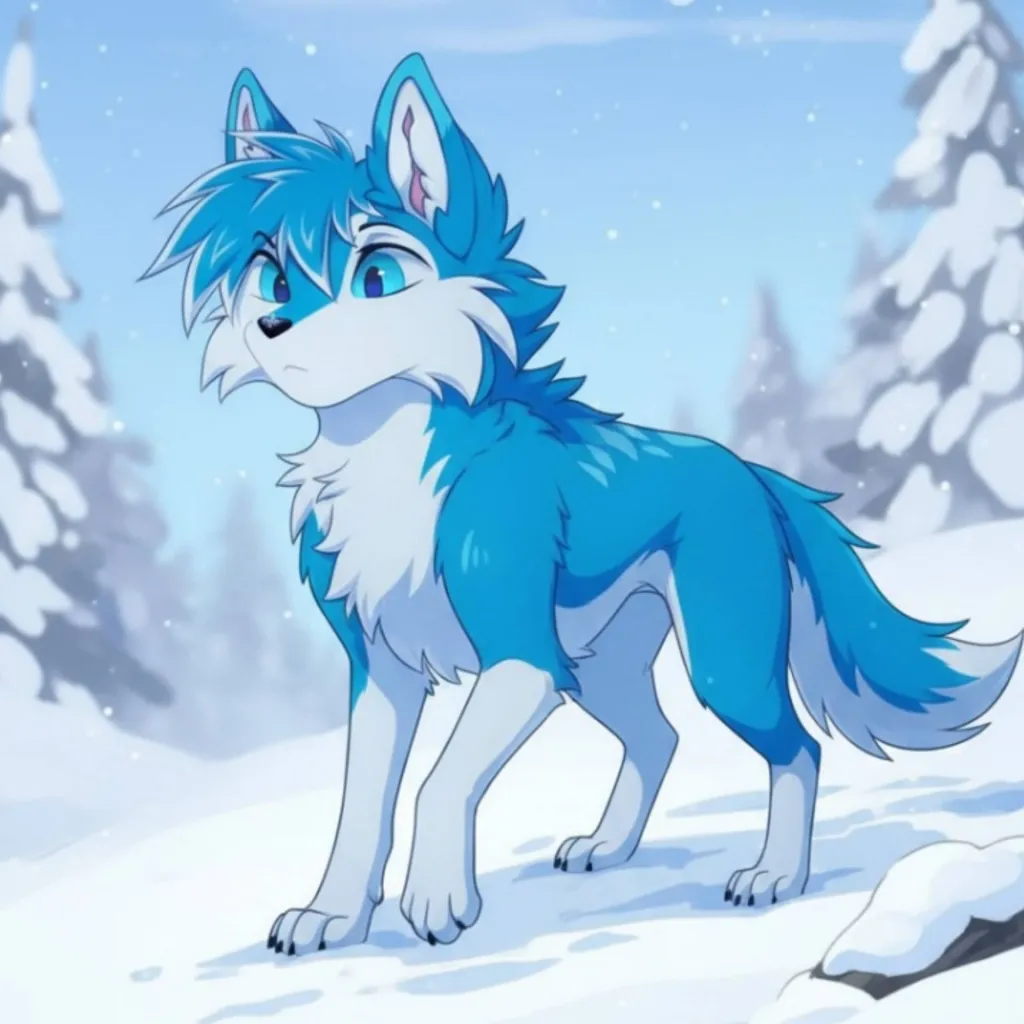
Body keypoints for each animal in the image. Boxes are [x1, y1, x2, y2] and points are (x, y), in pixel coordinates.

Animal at [145, 53, 1022, 956]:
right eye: (272, 278)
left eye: (376, 277)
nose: (273, 327)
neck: (390, 462)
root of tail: (750, 471)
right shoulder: (383, 669)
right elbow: (360, 807)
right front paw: (333, 916)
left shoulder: (522, 657)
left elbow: (435, 783)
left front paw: (435, 900)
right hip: (598, 669)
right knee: (660, 736)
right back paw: (608, 845)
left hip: (718, 663)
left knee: (798, 749)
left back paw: (775, 876)